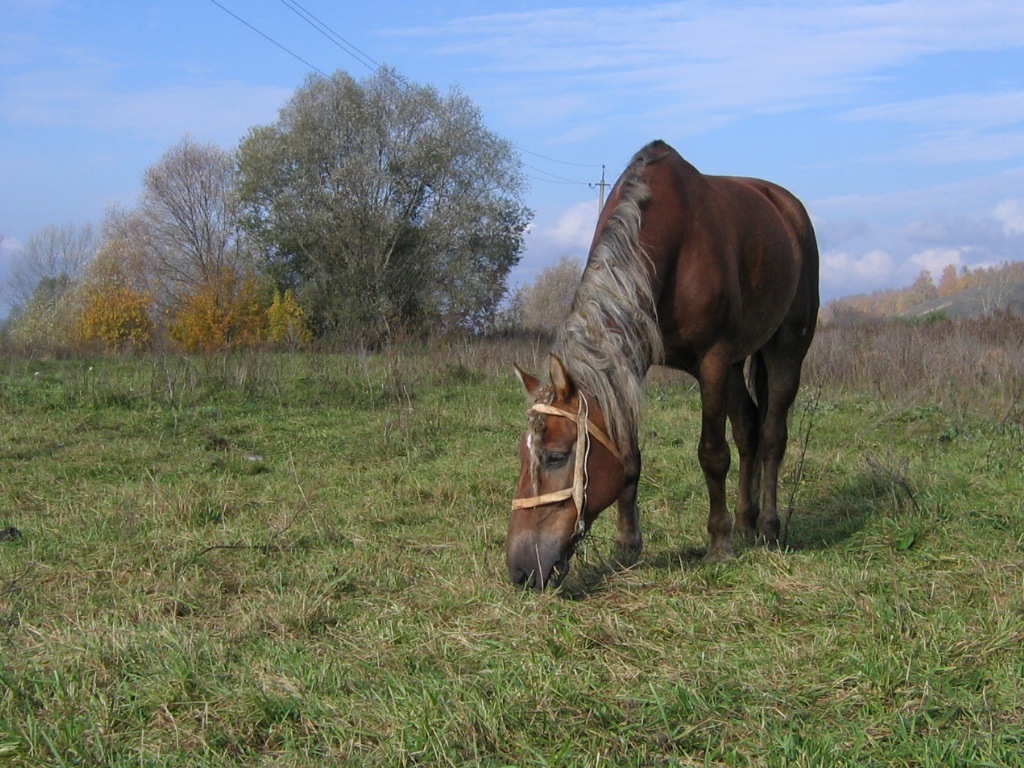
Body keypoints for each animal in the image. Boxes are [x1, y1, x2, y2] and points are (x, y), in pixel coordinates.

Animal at [507, 141, 819, 593]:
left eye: (555, 456)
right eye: (521, 454)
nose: (521, 569)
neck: (669, 242)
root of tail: (787, 207)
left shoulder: (713, 359)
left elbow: (712, 453)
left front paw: (719, 543)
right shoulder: (631, 363)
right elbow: (629, 457)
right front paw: (626, 546)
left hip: (786, 348)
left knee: (772, 436)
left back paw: (766, 527)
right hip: (738, 362)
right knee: (748, 430)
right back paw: (745, 521)